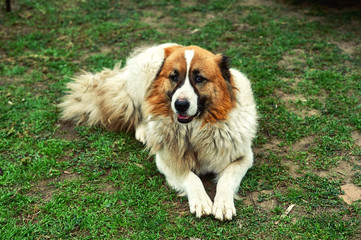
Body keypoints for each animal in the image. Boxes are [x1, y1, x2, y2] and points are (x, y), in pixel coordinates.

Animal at [58, 42, 256, 219]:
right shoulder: (166, 160)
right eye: (174, 77)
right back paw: (144, 131)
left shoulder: (243, 157)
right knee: (140, 109)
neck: (194, 130)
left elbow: (226, 179)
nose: (180, 105)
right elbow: (191, 177)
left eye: (199, 78)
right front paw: (201, 200)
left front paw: (223, 204)